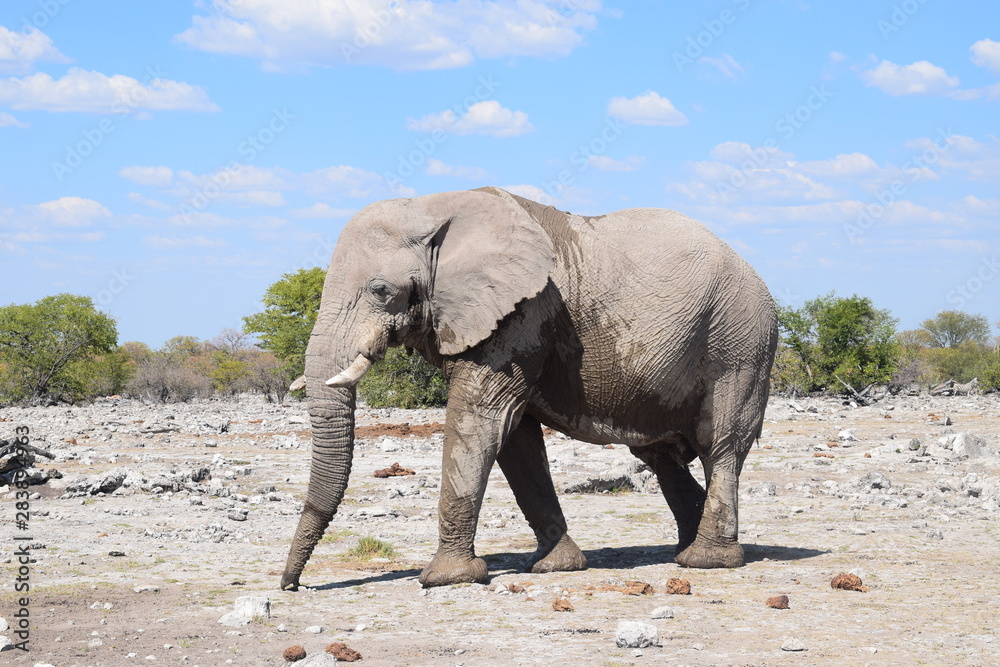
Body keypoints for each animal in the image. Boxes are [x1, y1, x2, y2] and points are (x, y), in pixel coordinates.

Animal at [279, 186, 778, 590]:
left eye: (381, 290)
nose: (292, 585)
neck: (431, 206)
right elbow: (515, 438)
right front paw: (556, 566)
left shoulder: (523, 312)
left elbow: (481, 419)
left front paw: (444, 579)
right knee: (659, 454)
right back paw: (684, 550)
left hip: (739, 342)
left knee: (720, 444)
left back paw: (705, 561)